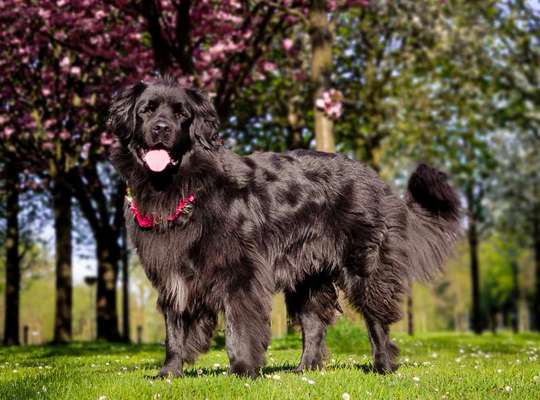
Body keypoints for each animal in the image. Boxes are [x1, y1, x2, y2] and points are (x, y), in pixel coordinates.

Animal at [108, 77, 460, 378]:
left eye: (181, 114)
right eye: (147, 110)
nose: (161, 128)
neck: (179, 186)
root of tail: (378, 182)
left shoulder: (242, 272)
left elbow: (240, 325)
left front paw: (243, 370)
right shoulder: (173, 273)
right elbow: (174, 328)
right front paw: (169, 372)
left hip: (364, 265)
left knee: (376, 319)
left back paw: (383, 365)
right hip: (308, 273)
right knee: (315, 323)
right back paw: (305, 369)